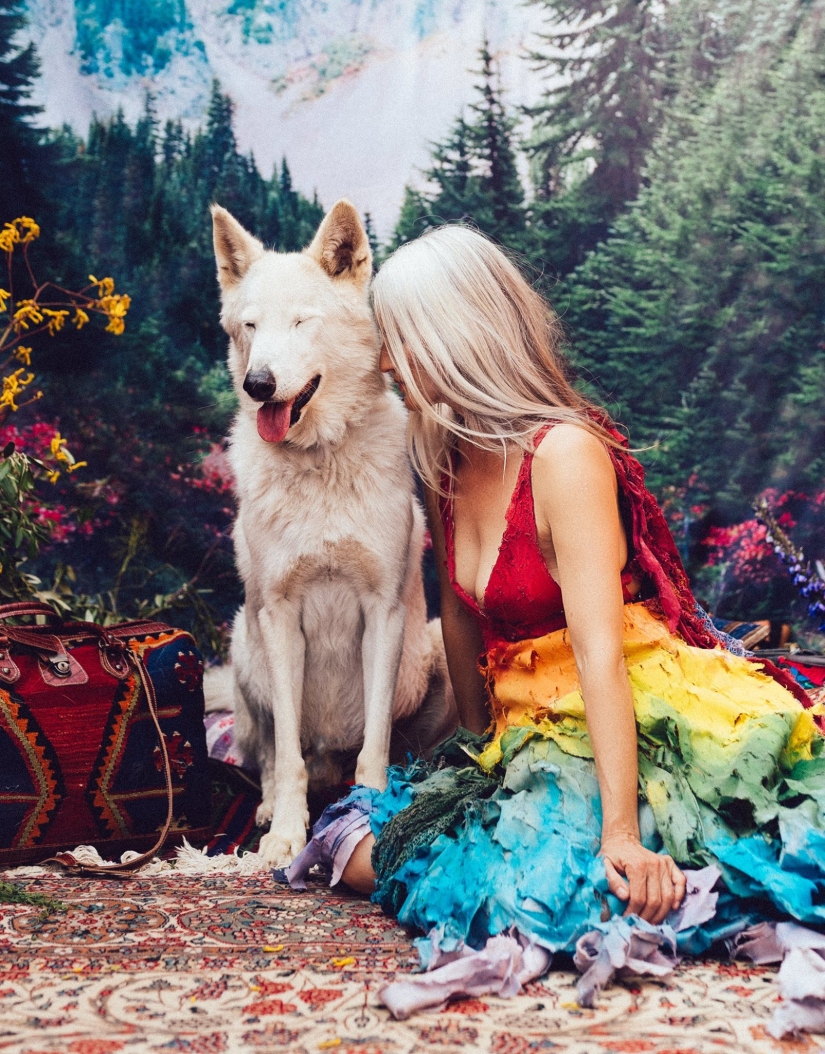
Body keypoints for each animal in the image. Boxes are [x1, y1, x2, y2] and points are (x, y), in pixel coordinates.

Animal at [204, 201, 455, 868]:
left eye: (301, 322)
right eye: (250, 326)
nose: (258, 384)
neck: (321, 461)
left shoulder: (382, 612)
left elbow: (375, 748)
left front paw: (371, 810)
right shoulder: (280, 615)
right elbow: (287, 753)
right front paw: (288, 837)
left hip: (432, 650)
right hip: (244, 644)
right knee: (271, 754)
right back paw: (269, 809)